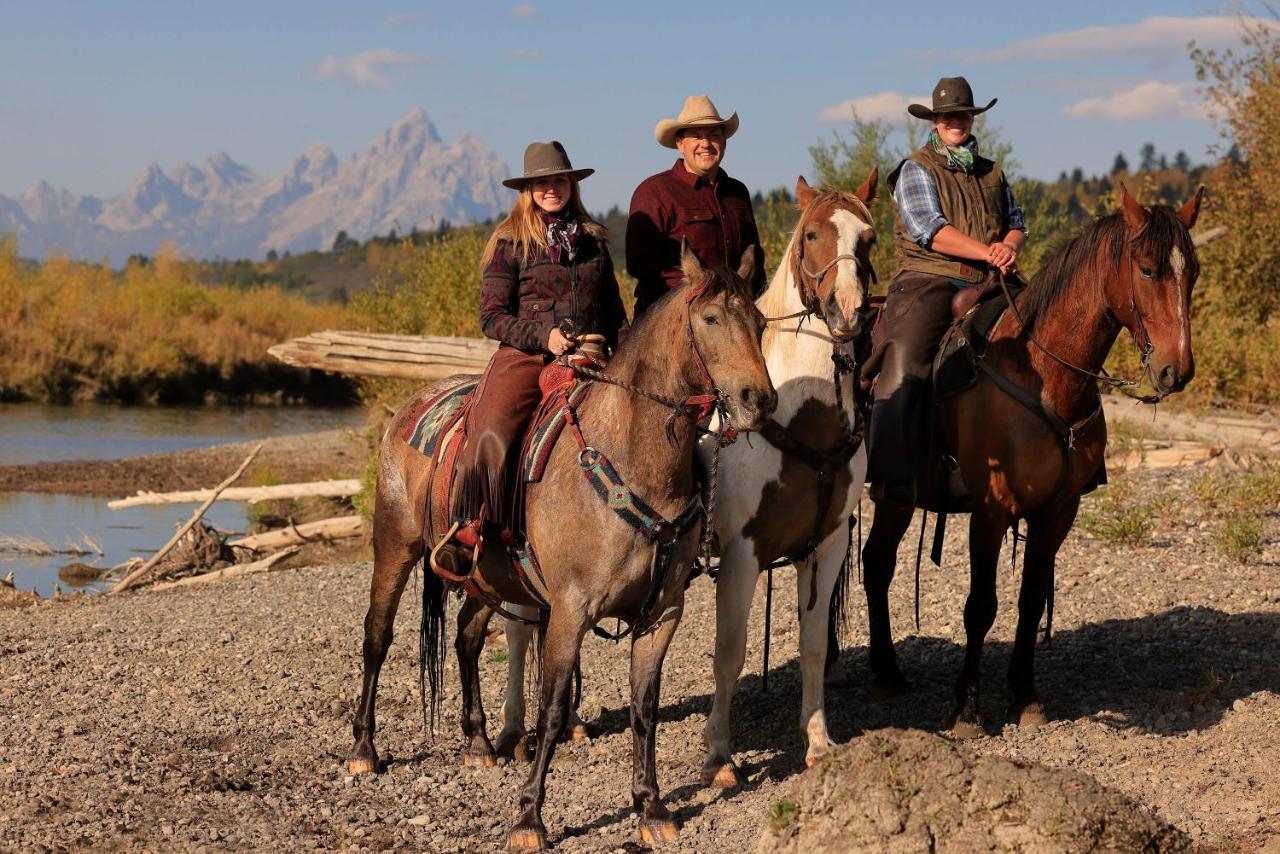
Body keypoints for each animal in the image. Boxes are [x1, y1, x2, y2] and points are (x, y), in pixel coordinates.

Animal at [345, 243, 773, 850]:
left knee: (467, 637)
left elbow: (644, 708)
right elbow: (550, 710)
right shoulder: (570, 610)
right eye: (711, 319)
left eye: (759, 323)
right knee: (377, 637)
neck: (631, 459)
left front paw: (652, 808)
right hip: (394, 547)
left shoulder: (662, 613)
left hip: (487, 577)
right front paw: (529, 818)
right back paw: (364, 748)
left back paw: (479, 743)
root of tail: (412, 406)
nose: (760, 400)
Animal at [696, 170, 875, 783]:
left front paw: (817, 739)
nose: (847, 309)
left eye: (868, 238)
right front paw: (719, 754)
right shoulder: (741, 554)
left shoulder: (826, 546)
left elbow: (815, 643)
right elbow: (729, 652)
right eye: (814, 233)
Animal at [860, 185, 1198, 737]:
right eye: (1147, 269)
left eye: (1193, 272)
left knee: (877, 562)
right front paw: (967, 708)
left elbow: (1031, 596)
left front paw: (1025, 695)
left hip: (898, 499)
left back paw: (886, 672)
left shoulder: (1058, 511)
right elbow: (981, 606)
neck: (1043, 372)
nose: (1176, 371)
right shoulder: (991, 510)